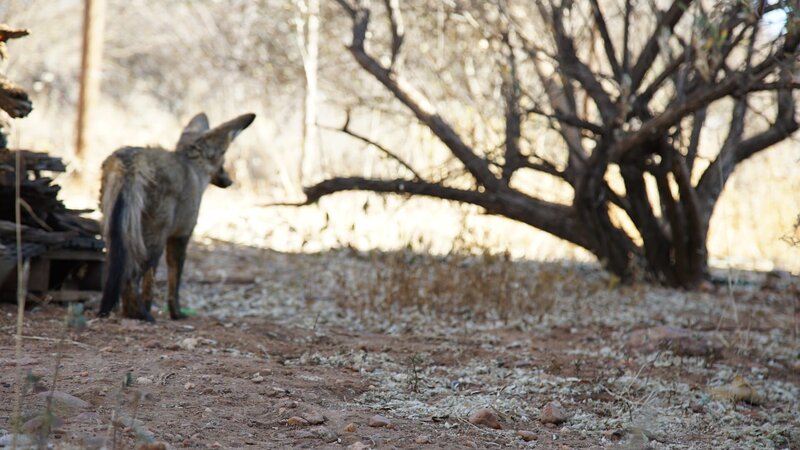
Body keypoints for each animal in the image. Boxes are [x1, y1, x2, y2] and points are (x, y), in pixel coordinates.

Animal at [97, 112, 255, 322]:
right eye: (223, 161)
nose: (229, 181)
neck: (194, 168)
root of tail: (130, 160)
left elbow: (150, 285)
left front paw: (149, 306)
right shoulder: (181, 235)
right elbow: (174, 281)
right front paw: (177, 314)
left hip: (117, 232)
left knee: (115, 273)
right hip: (152, 241)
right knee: (130, 277)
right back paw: (140, 315)